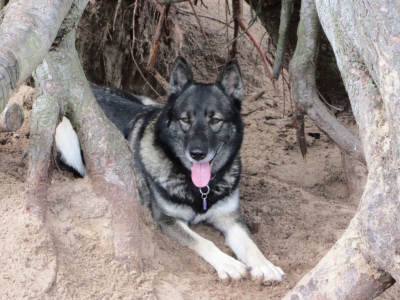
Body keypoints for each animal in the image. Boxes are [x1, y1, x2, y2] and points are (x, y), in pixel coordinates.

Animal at [55, 56, 284, 284]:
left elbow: (251, 245)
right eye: (185, 119)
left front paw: (266, 265)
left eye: (215, 120)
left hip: (148, 102)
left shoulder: (230, 219)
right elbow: (205, 242)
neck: (200, 190)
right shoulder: (168, 221)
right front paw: (228, 264)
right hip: (67, 138)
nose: (197, 154)